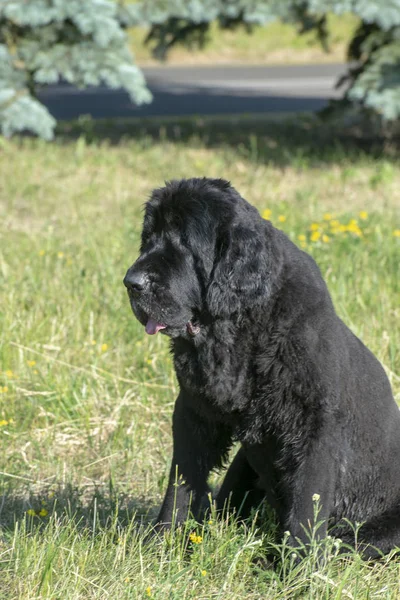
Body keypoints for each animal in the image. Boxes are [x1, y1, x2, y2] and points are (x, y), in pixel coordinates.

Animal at [123, 178, 398, 556]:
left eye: (184, 242)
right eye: (148, 238)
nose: (131, 282)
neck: (237, 328)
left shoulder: (315, 428)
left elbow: (307, 506)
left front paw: (299, 567)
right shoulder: (194, 411)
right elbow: (181, 481)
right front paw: (160, 543)